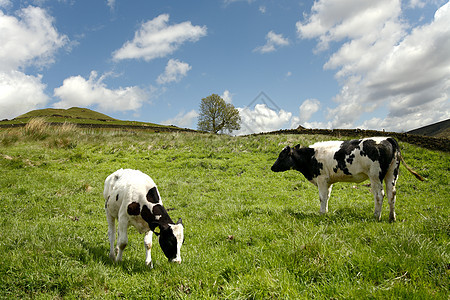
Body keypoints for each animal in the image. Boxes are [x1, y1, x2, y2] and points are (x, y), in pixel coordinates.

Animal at [270, 137, 426, 221]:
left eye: (281, 155)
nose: (272, 167)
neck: (311, 156)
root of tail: (387, 138)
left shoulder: (321, 179)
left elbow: (322, 197)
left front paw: (321, 213)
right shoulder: (329, 181)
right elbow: (327, 197)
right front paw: (325, 212)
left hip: (375, 175)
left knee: (379, 195)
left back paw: (377, 216)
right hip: (392, 173)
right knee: (391, 194)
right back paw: (391, 218)